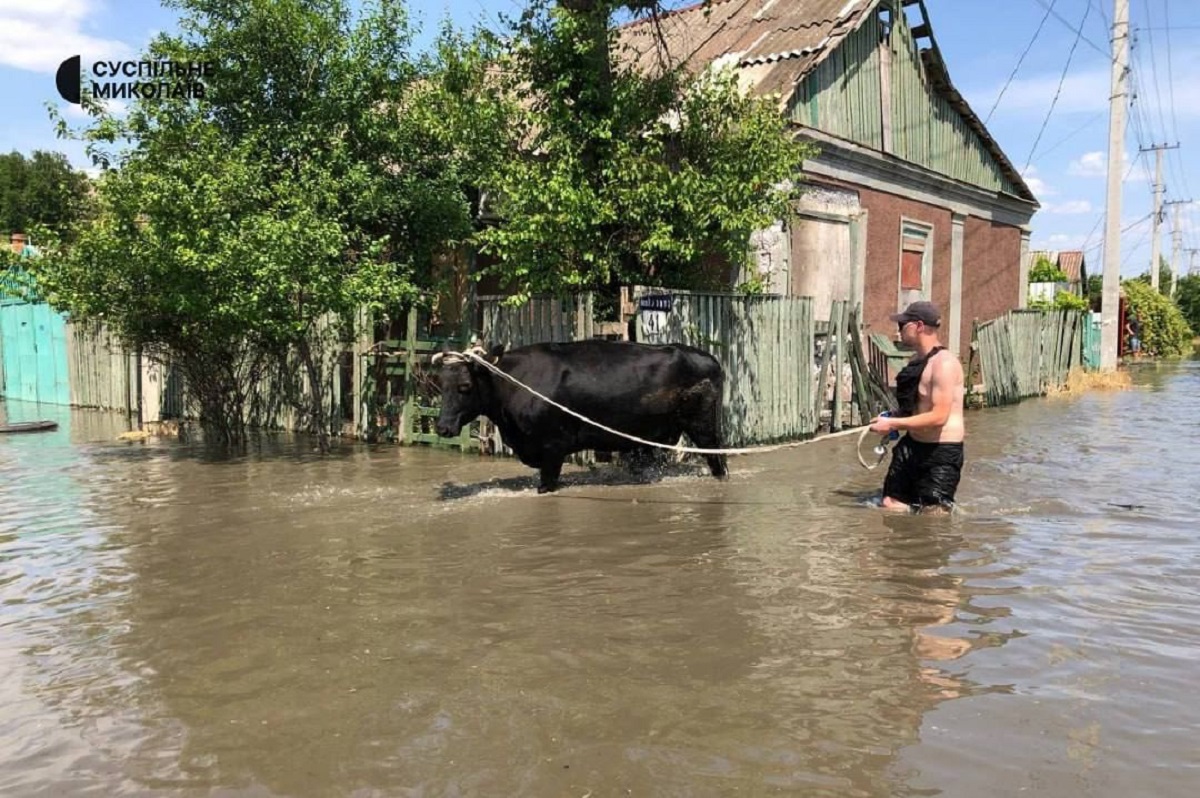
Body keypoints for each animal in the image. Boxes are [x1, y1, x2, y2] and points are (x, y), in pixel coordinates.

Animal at [434, 340, 728, 493]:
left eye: (465, 386)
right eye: (439, 384)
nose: (442, 427)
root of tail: (709, 358)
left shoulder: (552, 448)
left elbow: (547, 485)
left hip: (704, 426)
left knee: (718, 460)